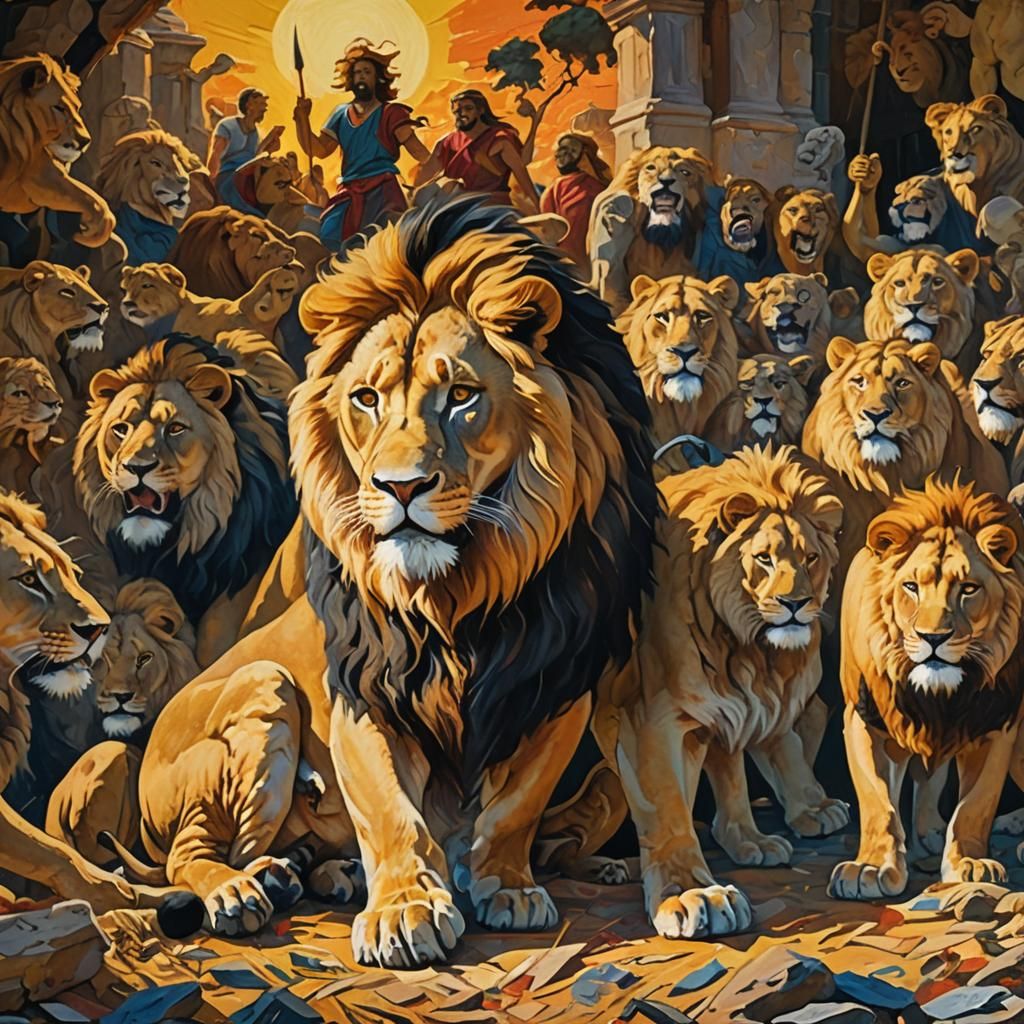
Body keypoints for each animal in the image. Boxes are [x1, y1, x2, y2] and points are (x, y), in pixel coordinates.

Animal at [0, 54, 115, 247]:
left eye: (77, 107)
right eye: (60, 108)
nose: (85, 141)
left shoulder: (40, 174)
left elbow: (92, 199)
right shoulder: (40, 175)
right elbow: (95, 202)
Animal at [830, 478, 1024, 902]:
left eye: (968, 589)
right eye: (911, 587)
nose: (933, 638)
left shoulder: (998, 724)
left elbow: (975, 803)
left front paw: (970, 862)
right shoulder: (863, 717)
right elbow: (876, 799)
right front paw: (869, 867)